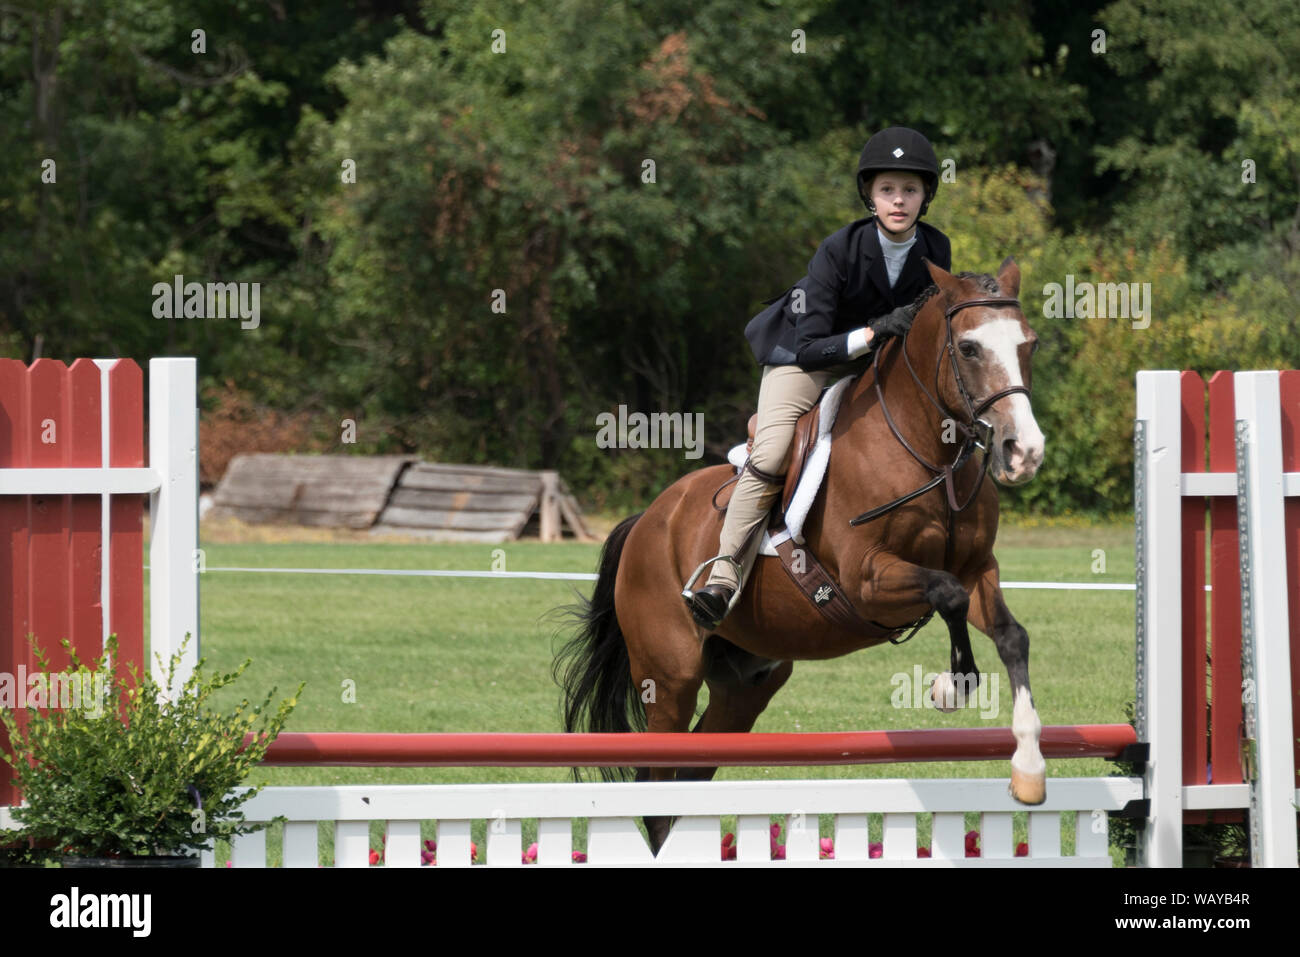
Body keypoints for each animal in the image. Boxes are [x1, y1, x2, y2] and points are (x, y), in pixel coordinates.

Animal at [553, 256, 1040, 852]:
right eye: (969, 348)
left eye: (1029, 344)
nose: (1024, 452)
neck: (931, 455)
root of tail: (646, 520)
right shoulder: (866, 580)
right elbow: (945, 595)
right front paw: (951, 686)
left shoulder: (976, 570)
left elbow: (1010, 635)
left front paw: (1029, 770)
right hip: (669, 677)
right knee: (656, 780)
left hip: (745, 683)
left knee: (691, 771)